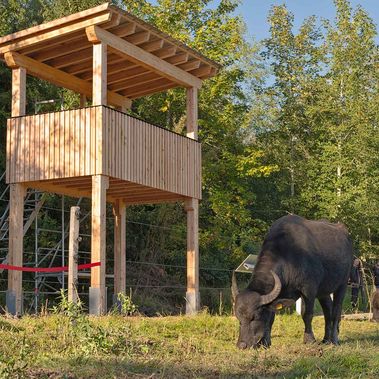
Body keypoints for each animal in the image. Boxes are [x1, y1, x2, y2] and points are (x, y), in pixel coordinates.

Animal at [232, 215, 354, 348]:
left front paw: (309, 339)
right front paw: (266, 342)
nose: (242, 345)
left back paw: (334, 339)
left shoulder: (309, 289)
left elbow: (307, 314)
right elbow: (270, 318)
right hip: (324, 291)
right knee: (328, 310)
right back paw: (326, 339)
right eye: (239, 319)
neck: (288, 258)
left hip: (342, 284)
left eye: (254, 317)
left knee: (336, 310)